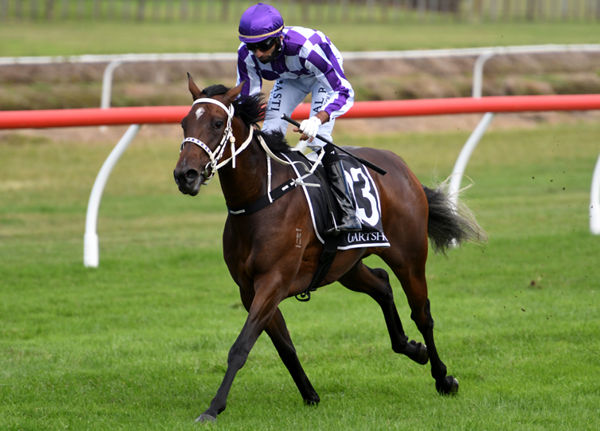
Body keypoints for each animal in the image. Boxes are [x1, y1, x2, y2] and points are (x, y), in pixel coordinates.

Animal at [172, 76, 482, 424]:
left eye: (216, 123)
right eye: (184, 123)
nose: (185, 175)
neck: (258, 198)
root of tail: (402, 167)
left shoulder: (273, 281)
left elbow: (241, 346)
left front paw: (213, 408)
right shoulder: (249, 289)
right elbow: (284, 346)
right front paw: (310, 394)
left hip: (409, 257)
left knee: (422, 314)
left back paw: (443, 378)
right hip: (346, 265)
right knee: (381, 283)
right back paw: (412, 348)